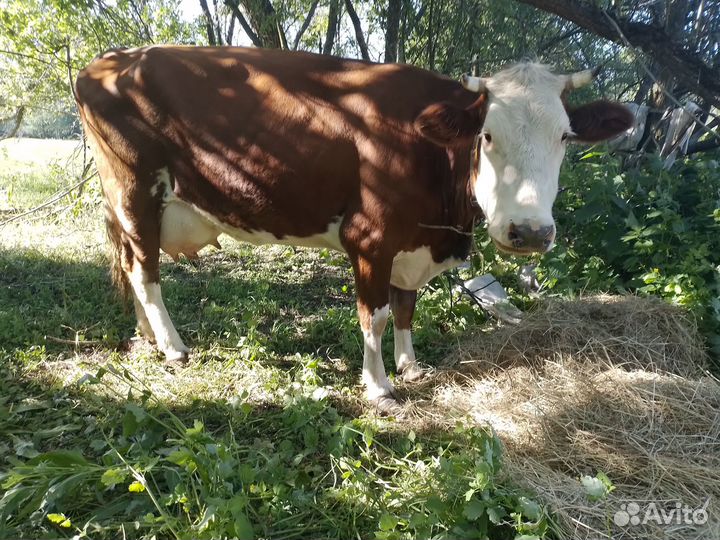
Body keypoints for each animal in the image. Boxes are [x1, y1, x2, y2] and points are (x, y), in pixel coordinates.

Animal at [74, 46, 632, 412]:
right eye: (487, 135)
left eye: (566, 136)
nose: (530, 233)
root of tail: (110, 60)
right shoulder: (369, 238)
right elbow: (376, 315)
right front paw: (380, 387)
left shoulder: (412, 244)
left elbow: (407, 307)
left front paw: (410, 366)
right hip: (133, 190)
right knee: (146, 271)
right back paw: (173, 346)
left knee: (134, 266)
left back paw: (149, 337)